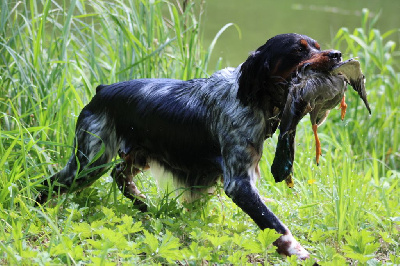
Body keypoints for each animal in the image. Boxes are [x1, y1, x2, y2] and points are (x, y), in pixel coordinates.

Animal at [36, 33, 346, 260]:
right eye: (299, 50)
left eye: (318, 47)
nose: (338, 55)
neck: (252, 98)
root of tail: (101, 91)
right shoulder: (239, 183)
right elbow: (274, 223)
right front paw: (298, 250)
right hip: (89, 161)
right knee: (49, 184)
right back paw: (36, 209)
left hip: (135, 155)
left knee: (120, 175)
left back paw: (141, 202)